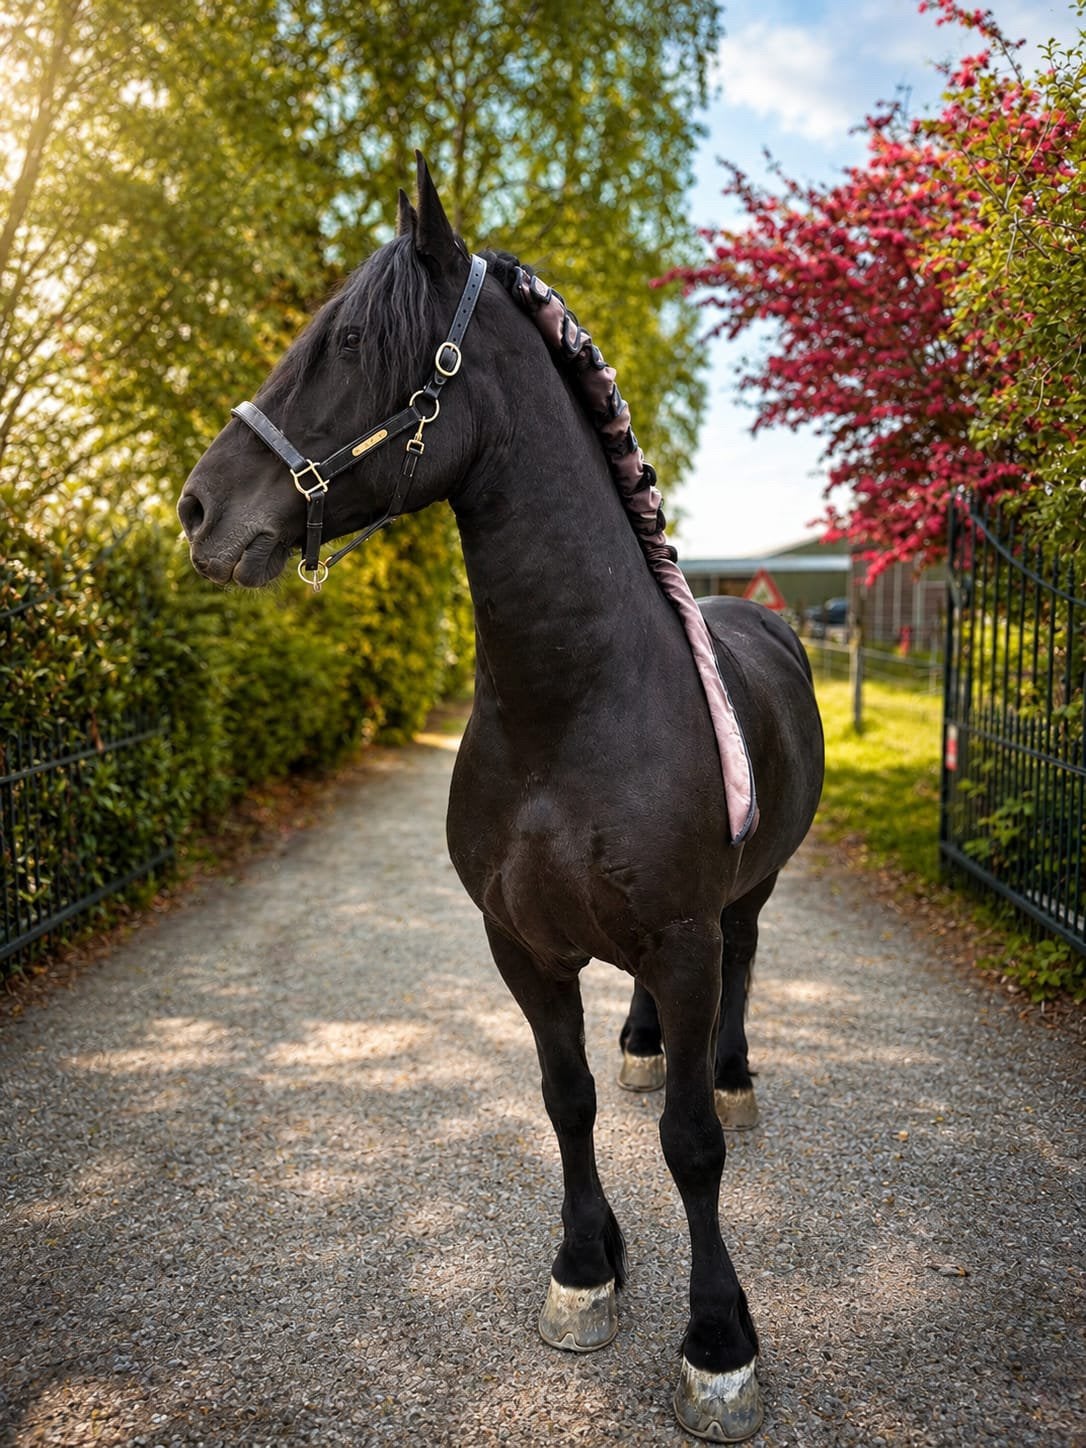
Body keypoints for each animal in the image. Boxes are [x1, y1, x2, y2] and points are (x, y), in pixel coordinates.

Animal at [178, 154, 824, 1442]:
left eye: (350, 340)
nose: (199, 510)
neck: (571, 712)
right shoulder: (520, 943)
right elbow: (566, 1098)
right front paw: (586, 1268)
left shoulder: (681, 939)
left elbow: (691, 1146)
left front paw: (718, 1344)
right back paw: (644, 1045)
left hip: (744, 896)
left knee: (744, 963)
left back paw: (728, 1070)